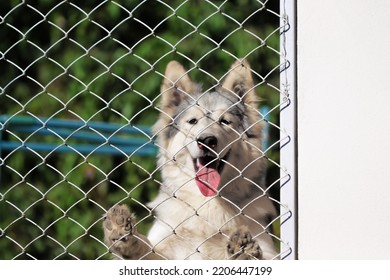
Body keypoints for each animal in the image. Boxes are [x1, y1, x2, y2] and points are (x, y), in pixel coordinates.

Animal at [102, 59, 278, 260]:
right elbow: (146, 250)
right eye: (193, 121)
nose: (207, 141)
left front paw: (245, 250)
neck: (208, 203)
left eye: (225, 121)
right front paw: (123, 235)